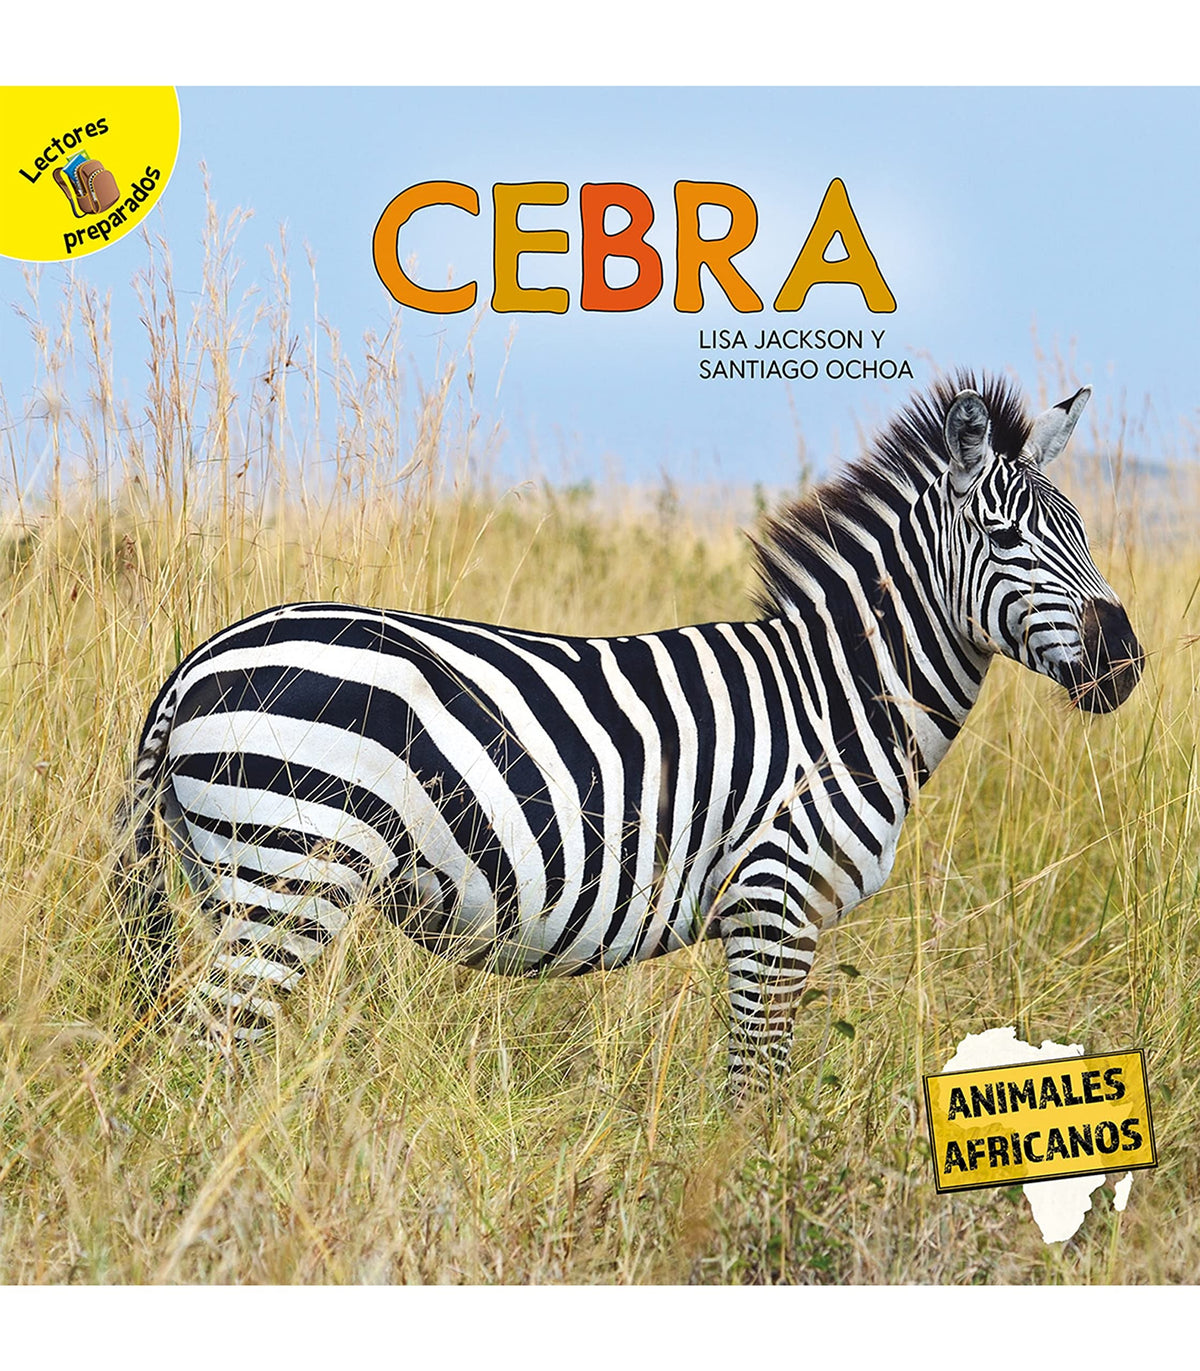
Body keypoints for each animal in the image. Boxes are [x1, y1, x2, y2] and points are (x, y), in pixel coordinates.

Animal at [117, 373, 1143, 1091]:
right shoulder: (774, 907)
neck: (842, 700)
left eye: (1084, 531)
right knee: (206, 1051)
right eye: (1007, 538)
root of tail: (199, 658)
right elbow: (756, 1093)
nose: (1125, 657)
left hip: (230, 877)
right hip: (291, 872)